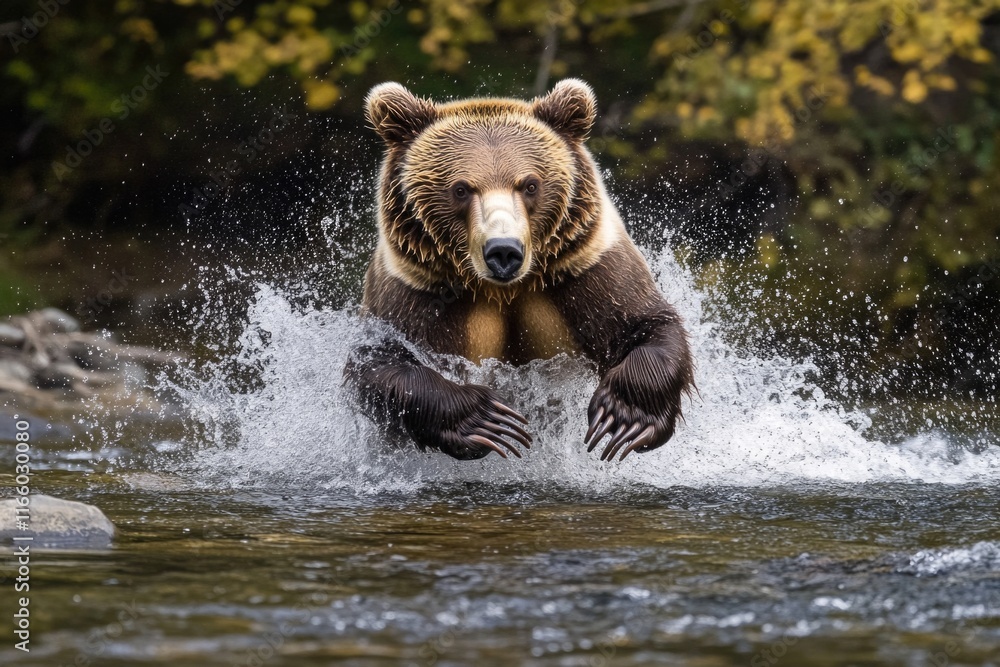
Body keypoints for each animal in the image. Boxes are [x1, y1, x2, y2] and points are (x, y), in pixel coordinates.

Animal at [345, 79, 693, 462]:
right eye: (461, 188)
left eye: (530, 184)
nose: (504, 251)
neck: (502, 288)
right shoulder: (411, 288)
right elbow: (377, 363)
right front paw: (485, 418)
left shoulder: (588, 266)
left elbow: (646, 325)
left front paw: (623, 416)